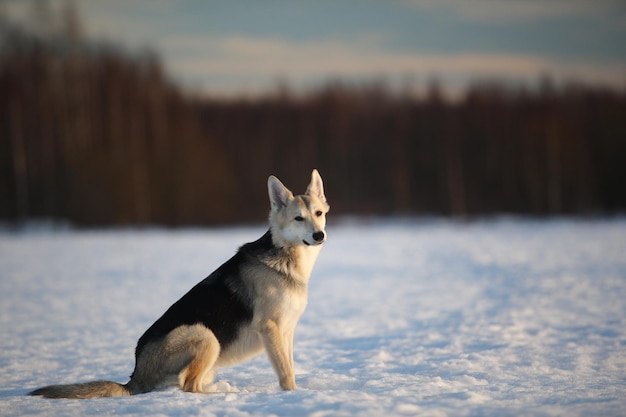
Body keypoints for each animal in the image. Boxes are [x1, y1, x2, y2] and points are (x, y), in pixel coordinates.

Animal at [31, 170, 330, 400]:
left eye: (318, 213)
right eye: (298, 218)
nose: (319, 235)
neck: (286, 258)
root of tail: (135, 378)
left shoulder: (286, 331)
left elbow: (290, 368)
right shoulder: (270, 329)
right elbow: (285, 372)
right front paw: (292, 396)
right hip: (204, 335)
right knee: (188, 384)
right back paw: (220, 396)